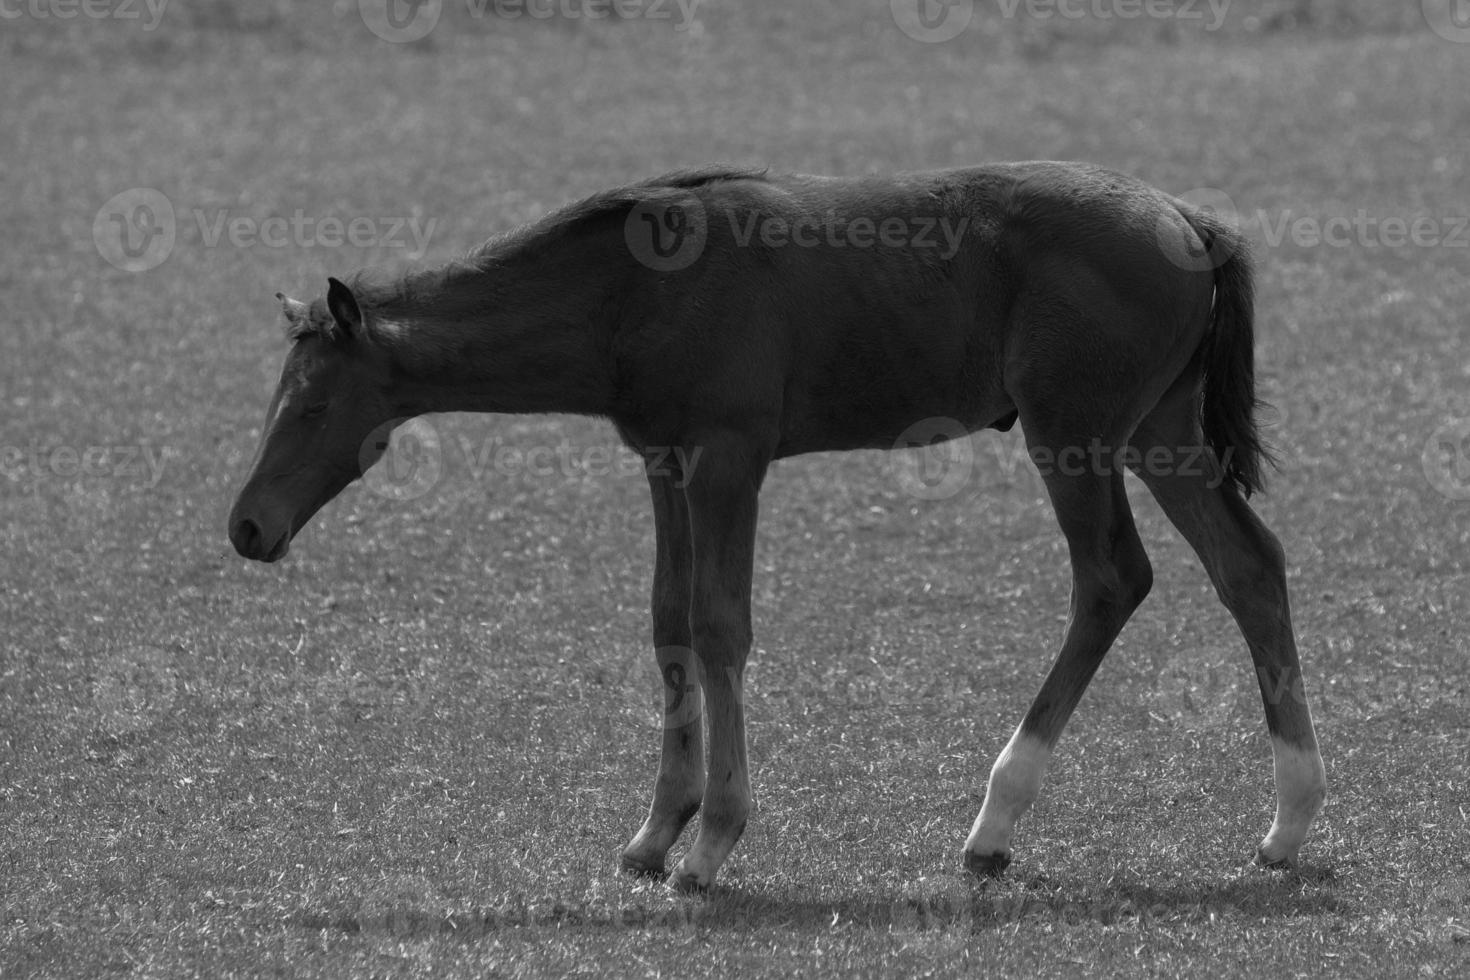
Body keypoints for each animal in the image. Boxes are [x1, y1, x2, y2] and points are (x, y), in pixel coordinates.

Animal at [229, 164, 1334, 893]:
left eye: (313, 403)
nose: (247, 525)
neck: (633, 291)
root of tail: (1188, 219)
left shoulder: (729, 456)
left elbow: (722, 627)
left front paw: (714, 837)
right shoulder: (665, 461)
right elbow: (669, 622)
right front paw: (655, 828)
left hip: (1074, 433)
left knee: (1112, 577)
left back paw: (993, 817)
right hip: (1159, 430)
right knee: (1249, 565)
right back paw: (1286, 824)